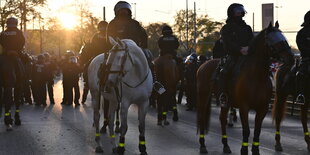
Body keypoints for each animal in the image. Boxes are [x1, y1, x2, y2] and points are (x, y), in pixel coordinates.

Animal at [196, 22, 294, 155]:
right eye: (274, 40)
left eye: (284, 38)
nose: (292, 58)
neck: (257, 76)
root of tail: (203, 66)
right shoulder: (244, 107)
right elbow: (246, 130)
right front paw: (244, 149)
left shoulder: (262, 108)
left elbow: (257, 130)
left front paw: (256, 150)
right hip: (203, 96)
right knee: (202, 117)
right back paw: (202, 145)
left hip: (225, 102)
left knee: (222, 119)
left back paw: (226, 145)